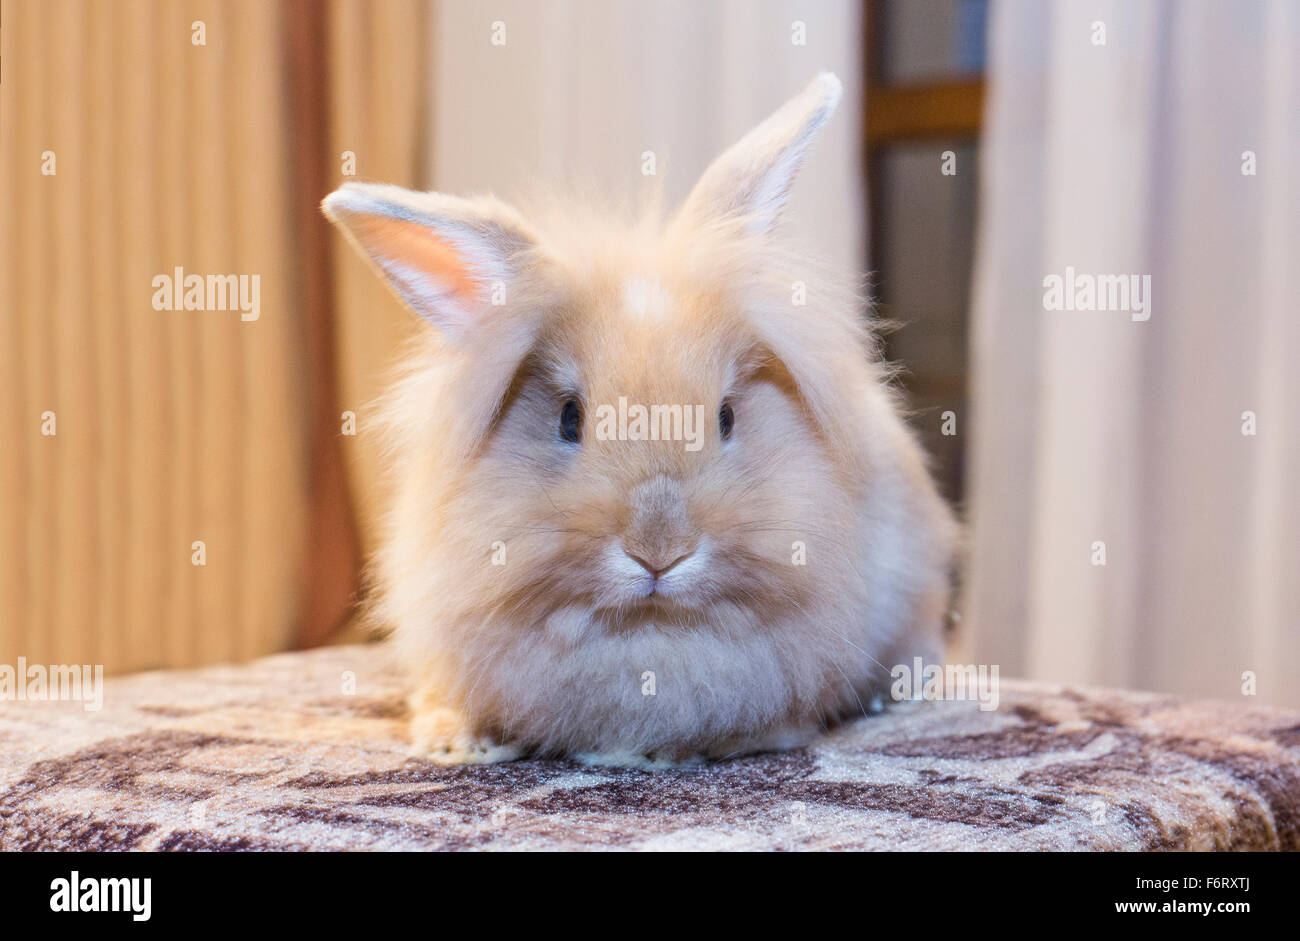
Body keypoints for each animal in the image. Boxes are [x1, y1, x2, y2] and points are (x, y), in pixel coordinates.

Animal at [321, 73, 961, 764]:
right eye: (570, 418)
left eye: (726, 417)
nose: (659, 551)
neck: (645, 633)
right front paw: (456, 742)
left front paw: (659, 752)